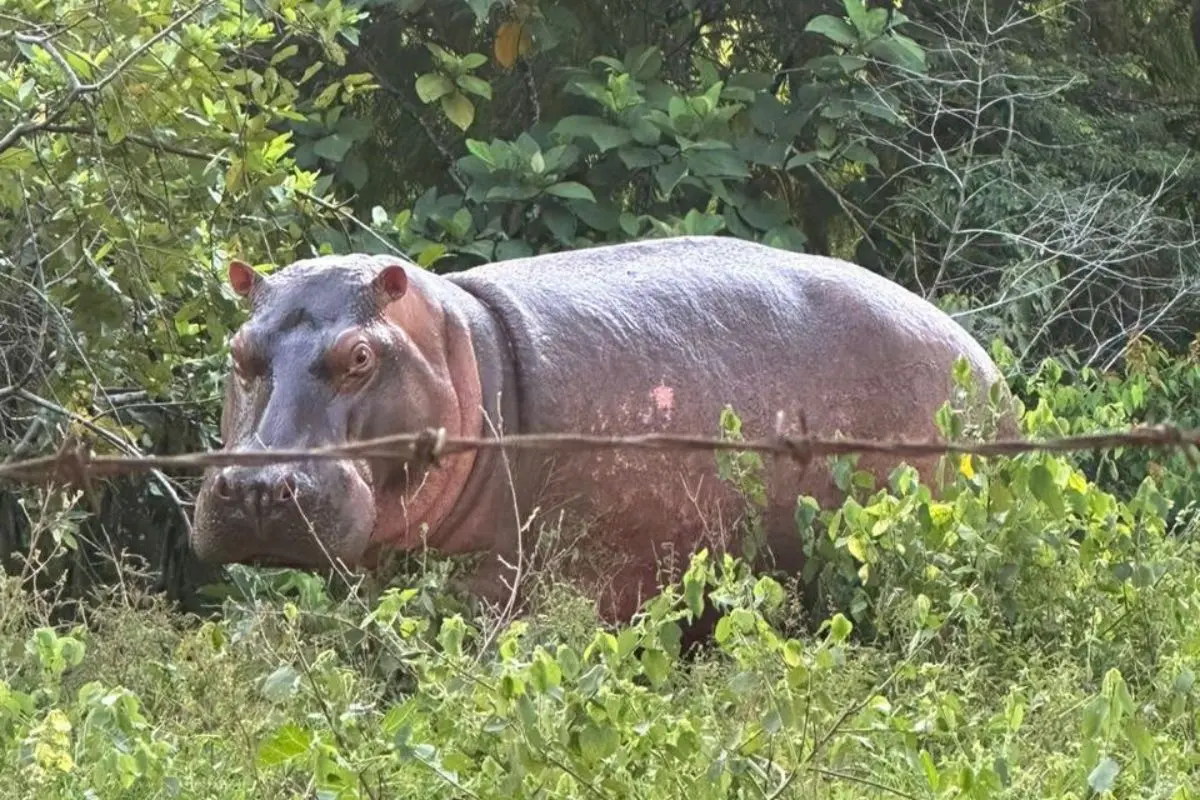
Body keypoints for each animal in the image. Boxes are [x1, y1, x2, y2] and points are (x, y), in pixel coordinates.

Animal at [190, 235, 1012, 623]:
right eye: (238, 349)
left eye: (360, 355)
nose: (258, 487)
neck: (462, 346)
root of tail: (988, 367)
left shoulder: (508, 586)